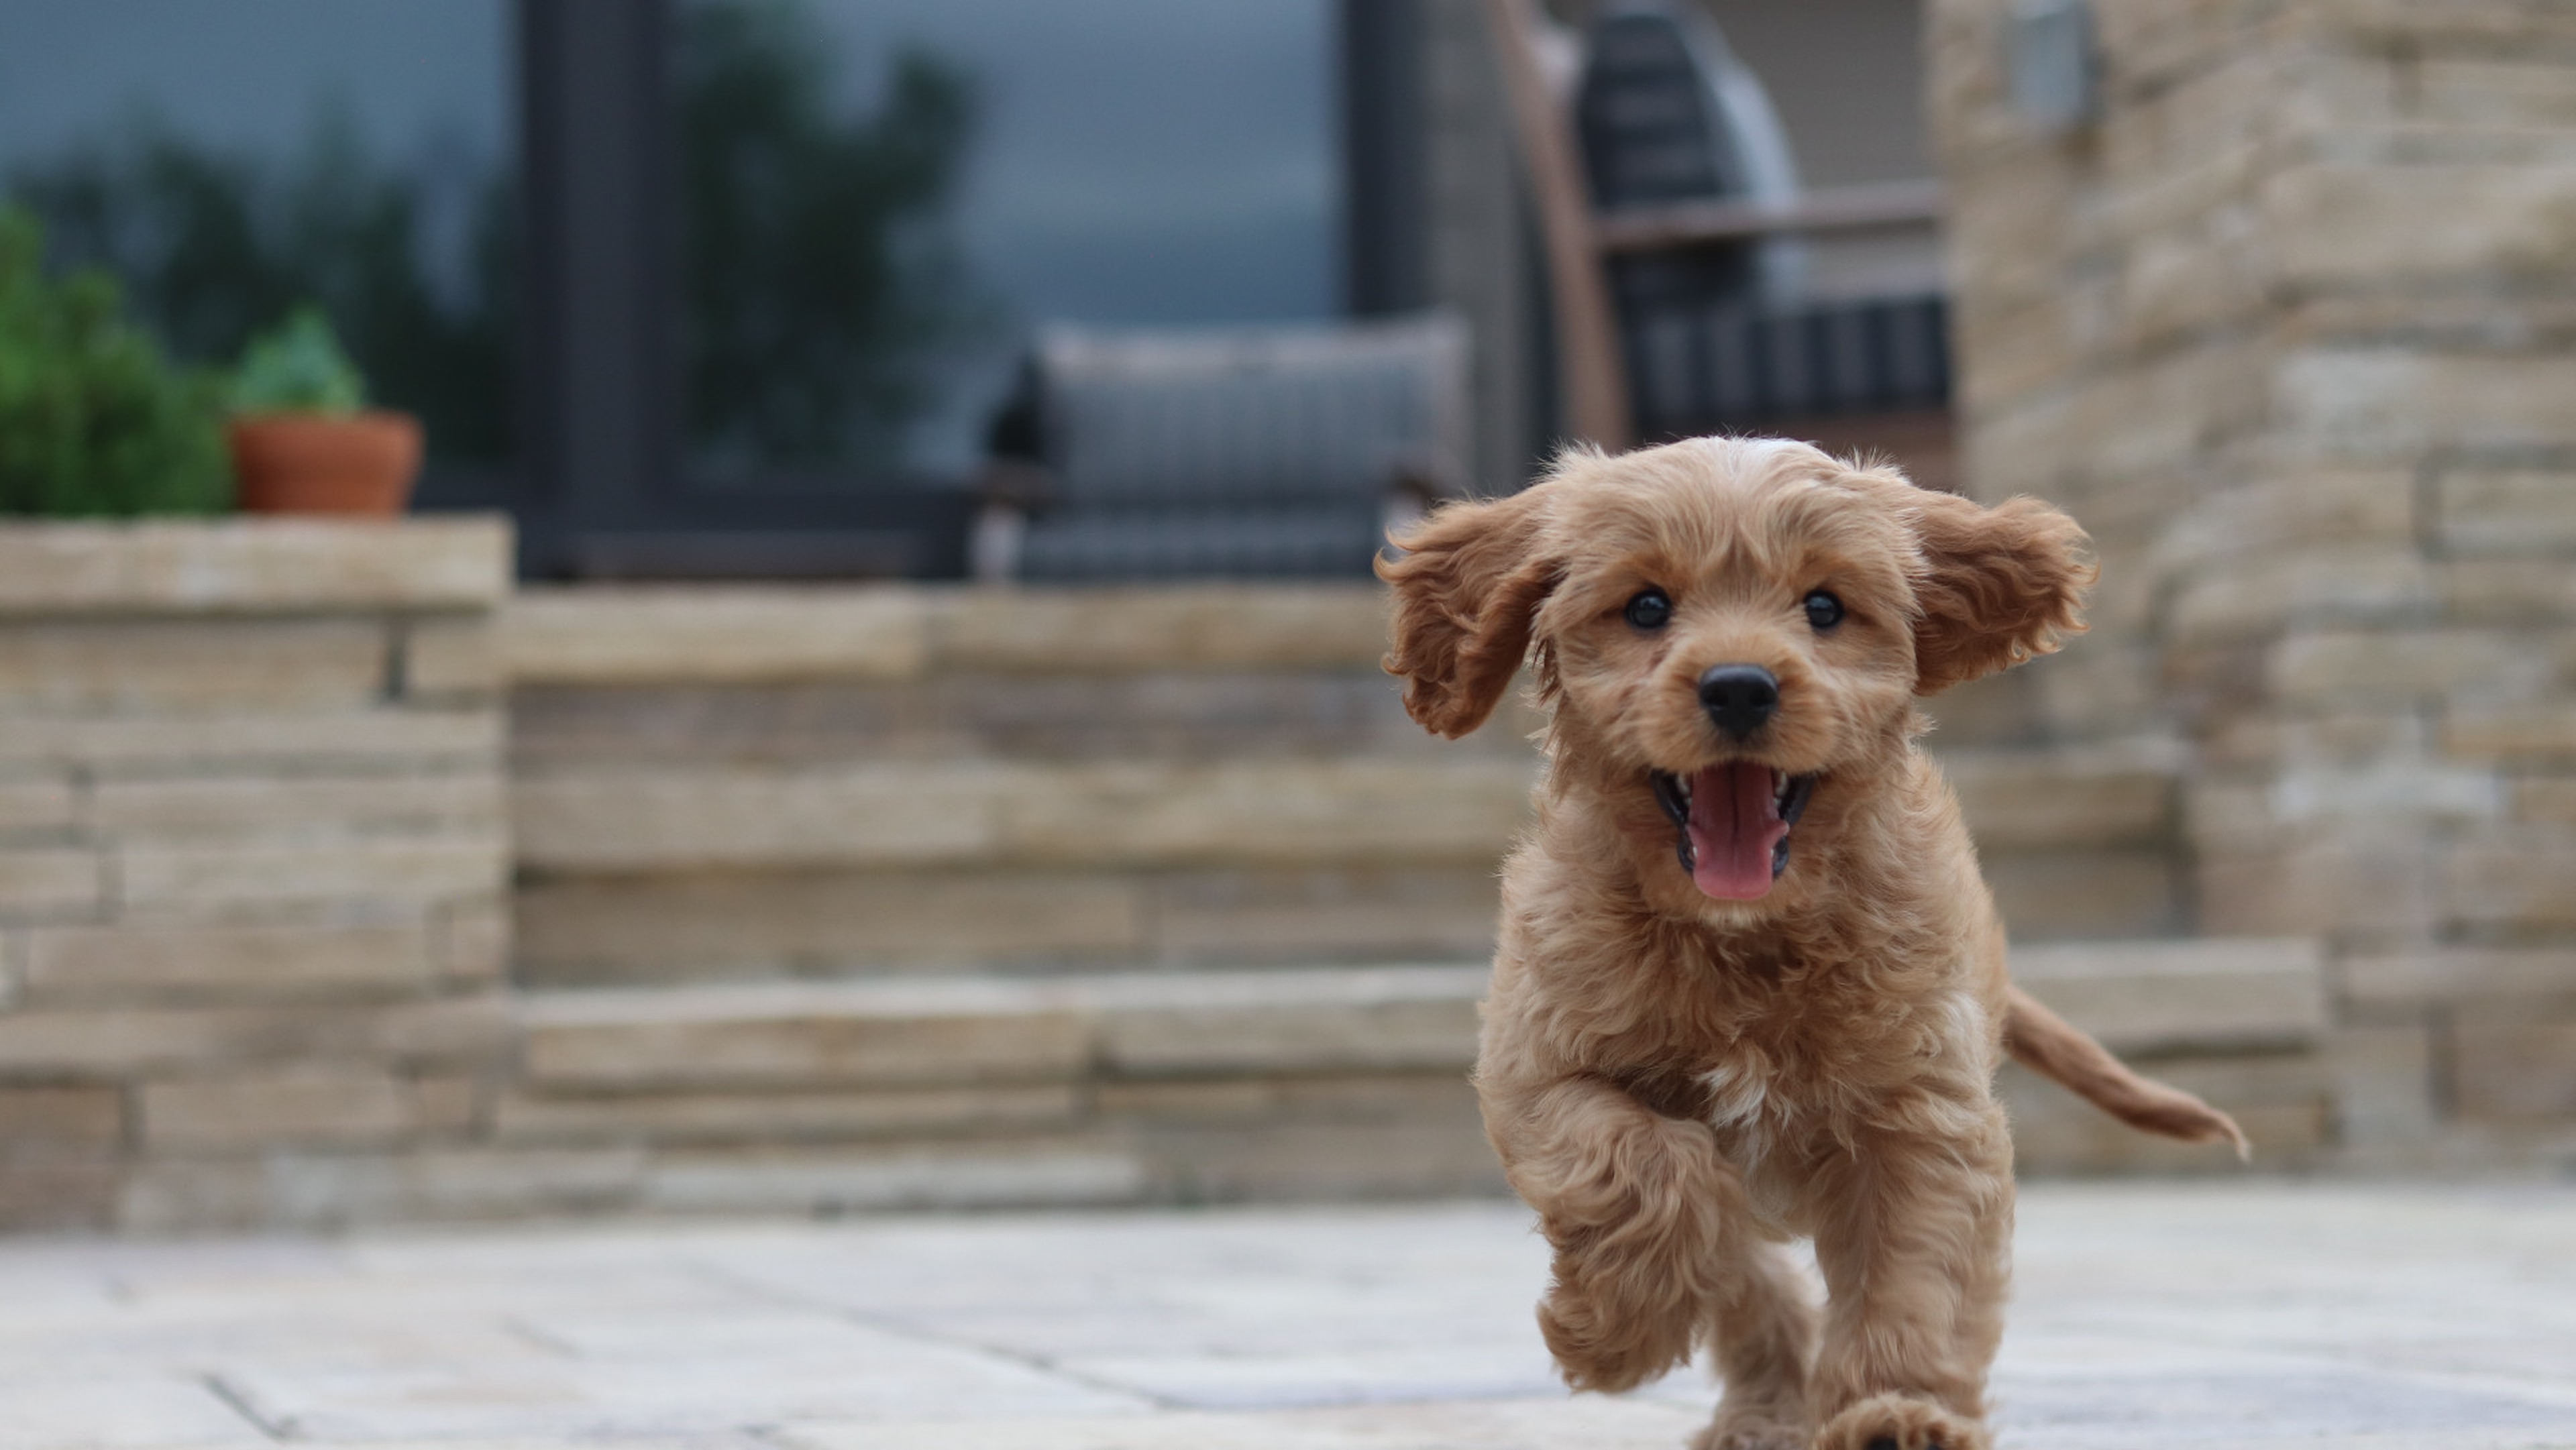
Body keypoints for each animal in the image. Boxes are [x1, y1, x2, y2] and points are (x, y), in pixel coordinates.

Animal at [1381, 437, 2246, 1450]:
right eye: (1646, 606)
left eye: (1825, 607)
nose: (1740, 685)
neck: (1746, 933)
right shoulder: (1541, 1066)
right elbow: (1644, 1164)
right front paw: (1610, 1336)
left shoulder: (1921, 1113)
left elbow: (1915, 1275)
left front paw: (1898, 1407)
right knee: (1740, 1259)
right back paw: (1758, 1407)